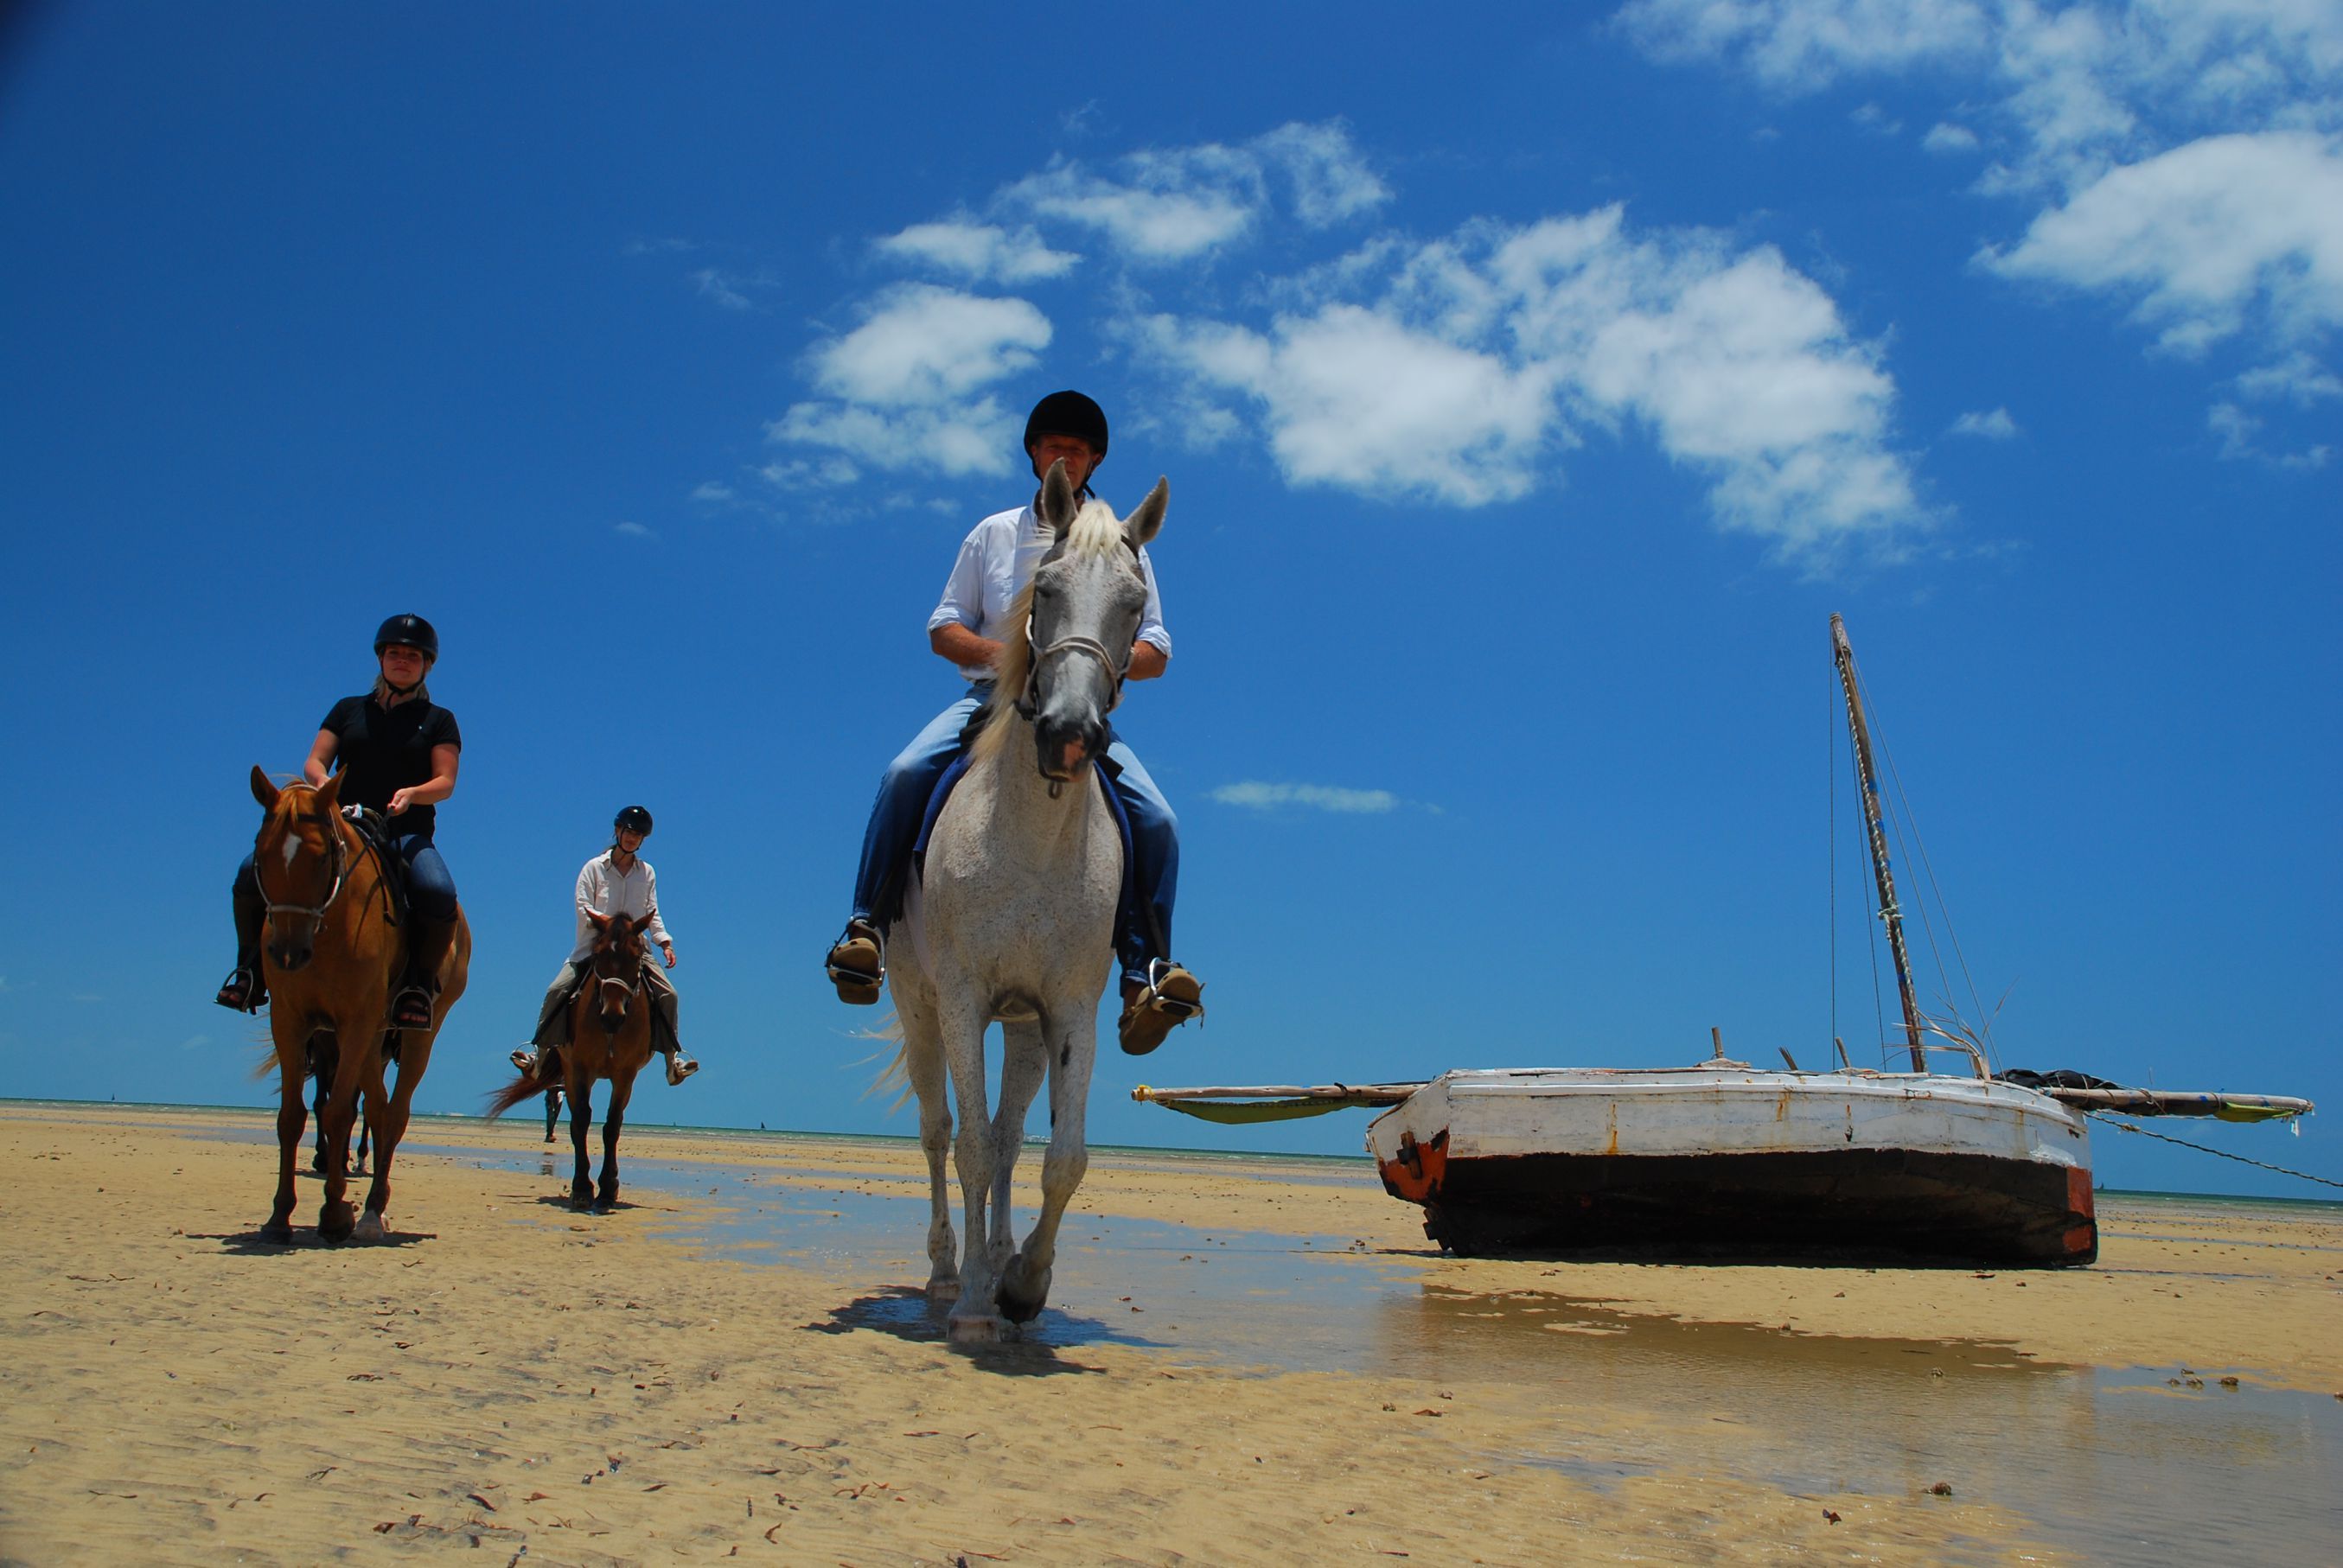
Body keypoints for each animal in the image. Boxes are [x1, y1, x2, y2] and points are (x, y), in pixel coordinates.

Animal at [245, 763, 469, 1237]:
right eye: (261, 854)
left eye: (321, 857)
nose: (287, 953)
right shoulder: (289, 1023)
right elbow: (293, 1116)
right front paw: (280, 1215)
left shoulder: (354, 1023)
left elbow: (336, 1113)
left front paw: (333, 1213)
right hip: (371, 1041)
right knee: (378, 1111)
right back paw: (368, 1208)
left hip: (415, 1034)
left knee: (395, 1114)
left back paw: (371, 1208)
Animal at [482, 904, 651, 1209]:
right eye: (598, 953)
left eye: (636, 956)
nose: (612, 1017)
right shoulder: (578, 1069)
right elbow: (581, 1121)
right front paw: (582, 1188)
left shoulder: (625, 1074)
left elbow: (612, 1125)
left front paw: (608, 1190)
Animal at [885, 459, 1162, 1340]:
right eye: (1043, 589)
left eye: (1135, 603)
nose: (1069, 733)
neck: (1031, 842)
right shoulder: (963, 998)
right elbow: (969, 1145)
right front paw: (978, 1301)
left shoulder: (1067, 1008)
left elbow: (1060, 1157)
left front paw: (1023, 1284)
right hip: (920, 1008)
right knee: (941, 1134)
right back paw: (949, 1272)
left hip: (1023, 1029)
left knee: (1009, 1140)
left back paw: (999, 1258)